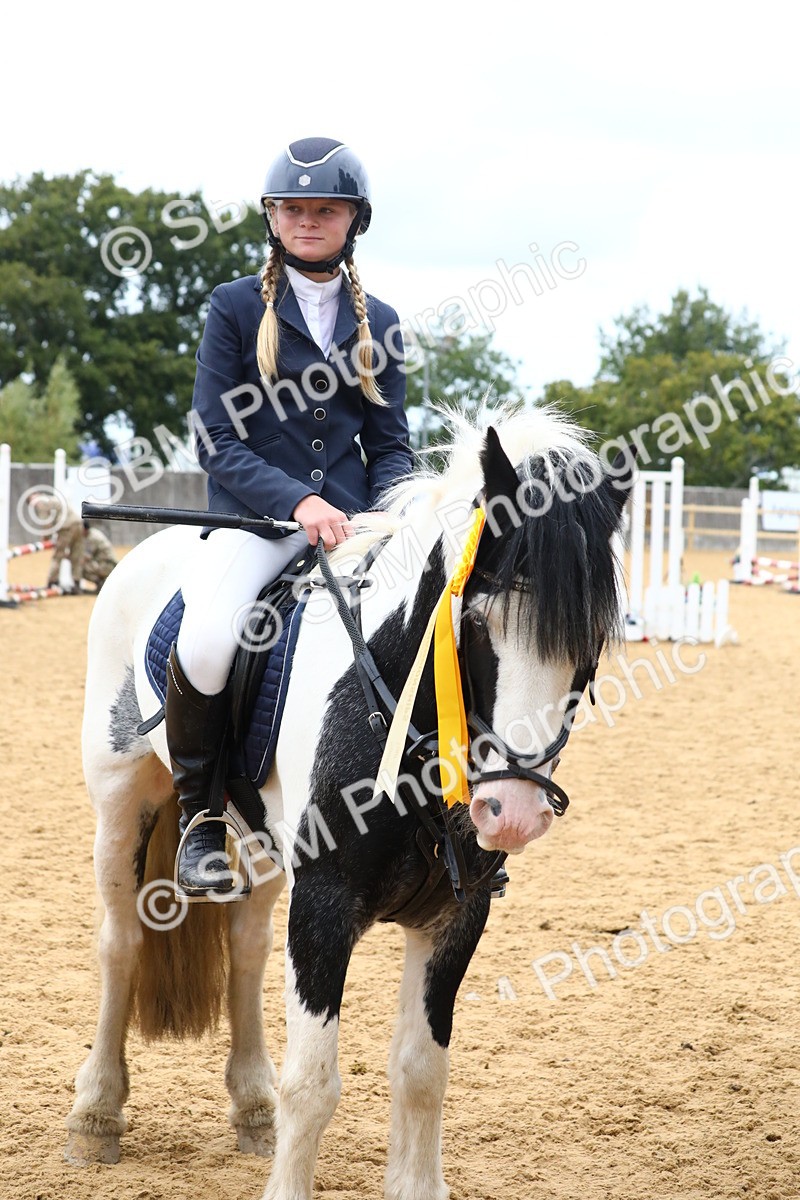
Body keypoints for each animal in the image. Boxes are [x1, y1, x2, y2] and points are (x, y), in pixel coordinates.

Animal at [65, 402, 634, 1200]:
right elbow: (313, 1084)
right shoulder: (325, 905)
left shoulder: (456, 914)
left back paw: (252, 1108)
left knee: (246, 947)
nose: (513, 815)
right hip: (121, 804)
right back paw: (95, 1117)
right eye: (476, 620)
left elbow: (421, 1073)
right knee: (122, 943)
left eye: (591, 642)